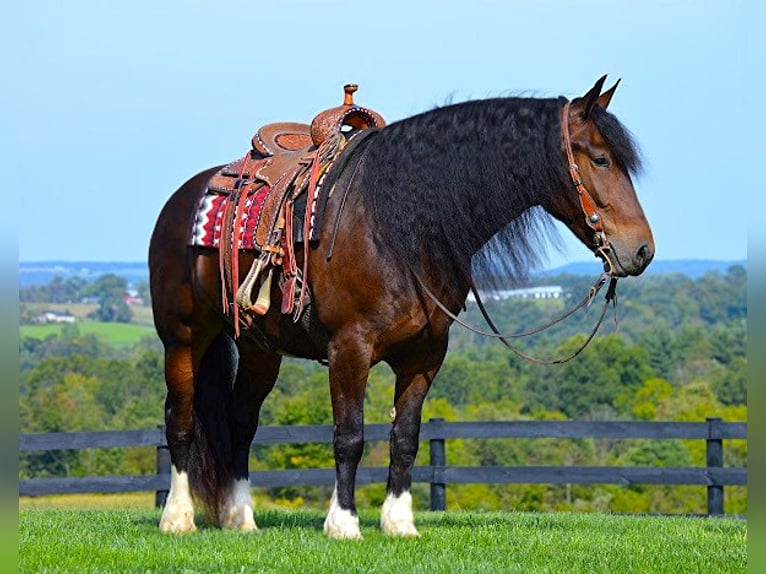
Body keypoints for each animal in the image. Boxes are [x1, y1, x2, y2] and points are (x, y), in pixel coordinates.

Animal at [148, 75, 656, 540]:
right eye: (602, 159)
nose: (642, 251)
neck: (396, 226)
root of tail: (184, 198)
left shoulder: (424, 355)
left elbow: (406, 438)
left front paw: (398, 523)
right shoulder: (349, 348)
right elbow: (350, 435)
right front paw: (344, 523)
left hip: (260, 347)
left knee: (241, 418)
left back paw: (241, 517)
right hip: (183, 337)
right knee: (181, 420)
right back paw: (177, 517)